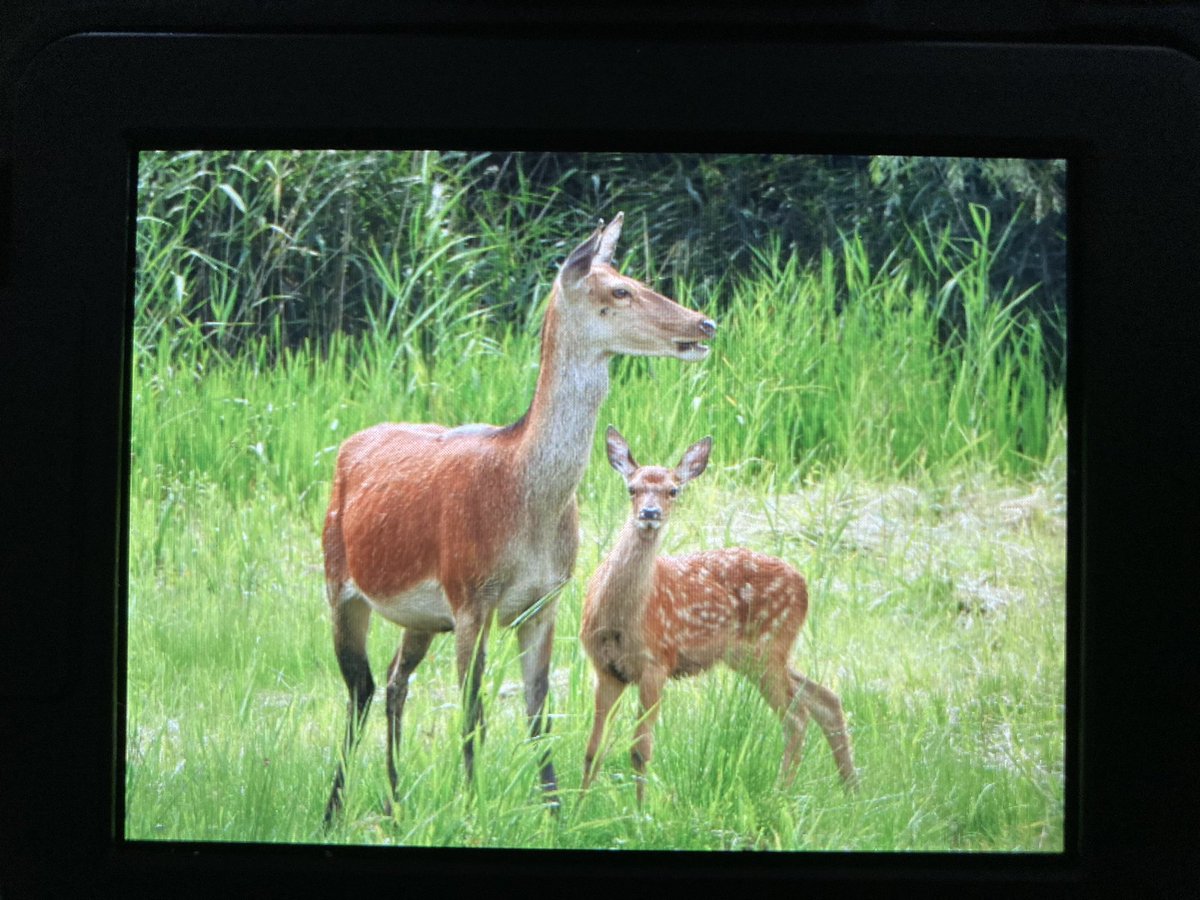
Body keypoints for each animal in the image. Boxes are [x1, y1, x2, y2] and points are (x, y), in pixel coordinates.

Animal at [321, 213, 717, 823]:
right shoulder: (470, 596)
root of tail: (347, 446)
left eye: (635, 278)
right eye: (619, 289)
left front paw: (555, 812)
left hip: (418, 616)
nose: (705, 322)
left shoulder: (544, 600)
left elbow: (537, 708)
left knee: (391, 681)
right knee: (359, 688)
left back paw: (394, 802)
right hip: (339, 581)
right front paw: (471, 806)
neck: (524, 505)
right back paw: (336, 807)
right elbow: (472, 713)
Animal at [580, 427, 858, 805]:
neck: (618, 619)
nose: (650, 513)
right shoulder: (606, 668)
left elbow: (640, 751)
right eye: (632, 488)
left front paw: (639, 812)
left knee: (796, 717)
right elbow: (593, 750)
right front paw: (572, 808)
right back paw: (851, 789)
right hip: (752, 655)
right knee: (825, 698)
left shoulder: (656, 662)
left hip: (767, 646)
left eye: (673, 490)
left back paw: (781, 794)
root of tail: (804, 585)